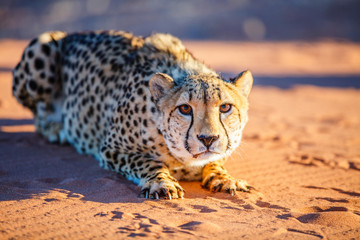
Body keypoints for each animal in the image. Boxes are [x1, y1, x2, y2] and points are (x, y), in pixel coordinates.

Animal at [11, 31, 253, 200]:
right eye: (185, 109)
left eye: (225, 107)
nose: (208, 139)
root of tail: (73, 34)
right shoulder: (111, 149)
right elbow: (147, 162)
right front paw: (162, 183)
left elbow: (216, 161)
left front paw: (225, 179)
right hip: (42, 50)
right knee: (38, 114)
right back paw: (56, 128)